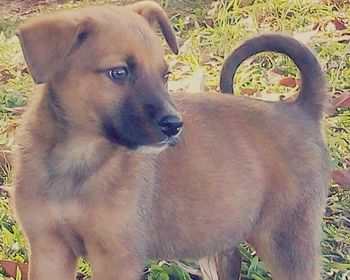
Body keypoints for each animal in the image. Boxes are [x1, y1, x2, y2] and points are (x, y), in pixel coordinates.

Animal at [12, 1, 330, 278]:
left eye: (164, 75)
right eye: (119, 72)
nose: (175, 126)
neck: (79, 156)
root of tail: (300, 109)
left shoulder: (116, 256)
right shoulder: (49, 249)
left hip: (287, 239)